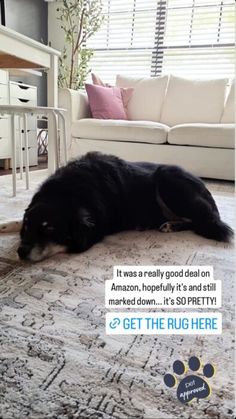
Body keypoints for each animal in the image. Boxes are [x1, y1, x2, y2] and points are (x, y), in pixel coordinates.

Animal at [18, 153, 232, 260]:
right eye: (27, 225)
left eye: (49, 229)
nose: (20, 252)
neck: (67, 191)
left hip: (168, 177)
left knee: (201, 221)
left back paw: (170, 225)